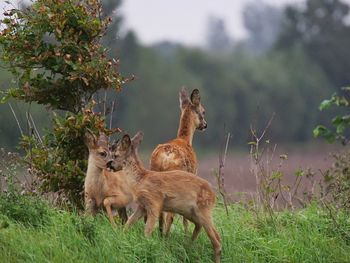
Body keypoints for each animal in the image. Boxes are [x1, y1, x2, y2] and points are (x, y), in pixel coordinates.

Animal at [109, 132, 220, 263]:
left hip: (204, 209)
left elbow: (147, 231)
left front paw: (146, 248)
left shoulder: (155, 203)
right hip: (191, 212)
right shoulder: (142, 206)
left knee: (217, 239)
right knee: (199, 227)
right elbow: (128, 223)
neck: (140, 180)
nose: (109, 164)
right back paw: (188, 246)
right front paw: (120, 239)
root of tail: (213, 195)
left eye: (116, 155)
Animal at [148, 87, 208, 236]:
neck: (185, 139)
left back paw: (160, 234)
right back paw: (166, 236)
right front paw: (186, 233)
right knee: (170, 215)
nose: (205, 125)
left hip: (154, 172)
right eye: (203, 111)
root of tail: (165, 158)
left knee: (160, 212)